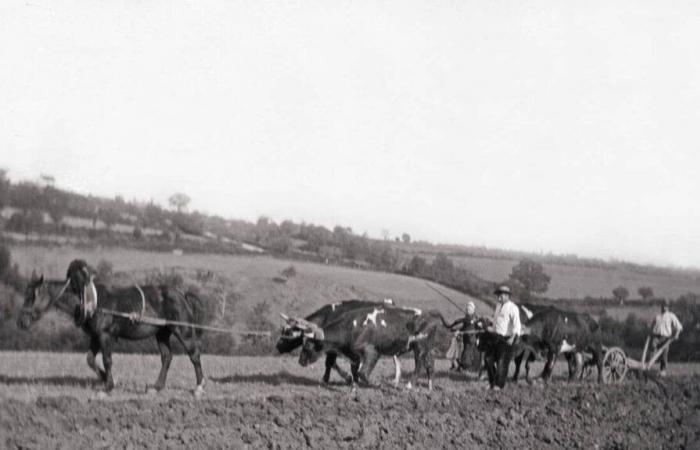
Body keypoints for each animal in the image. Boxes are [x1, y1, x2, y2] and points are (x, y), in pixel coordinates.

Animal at [17, 262, 205, 396]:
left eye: (32, 296)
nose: (21, 322)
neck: (90, 301)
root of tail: (182, 294)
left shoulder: (105, 335)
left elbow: (107, 360)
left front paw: (108, 386)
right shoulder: (95, 336)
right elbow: (90, 359)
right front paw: (103, 377)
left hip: (183, 331)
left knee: (194, 355)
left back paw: (198, 387)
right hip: (162, 333)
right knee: (166, 357)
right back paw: (156, 387)